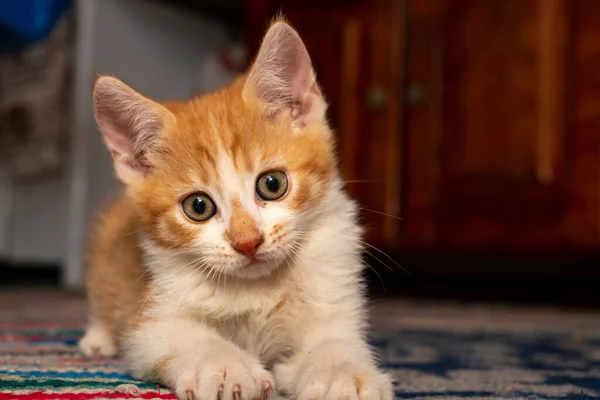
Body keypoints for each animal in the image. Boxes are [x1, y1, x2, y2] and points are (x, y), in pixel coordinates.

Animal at [79, 20, 396, 400]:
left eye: (272, 184)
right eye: (198, 206)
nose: (247, 242)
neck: (260, 290)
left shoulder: (333, 299)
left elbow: (334, 341)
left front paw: (342, 375)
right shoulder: (152, 318)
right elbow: (184, 336)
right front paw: (225, 368)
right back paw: (97, 338)